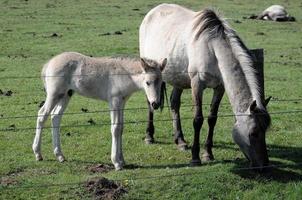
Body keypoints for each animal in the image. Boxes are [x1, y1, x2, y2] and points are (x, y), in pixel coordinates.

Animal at [31, 52, 166, 171]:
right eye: (147, 82)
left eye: (161, 83)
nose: (155, 104)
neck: (124, 73)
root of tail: (49, 63)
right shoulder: (114, 101)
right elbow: (115, 129)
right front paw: (116, 163)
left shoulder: (122, 102)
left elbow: (121, 128)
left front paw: (122, 160)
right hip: (54, 94)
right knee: (42, 115)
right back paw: (38, 153)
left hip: (66, 94)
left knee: (55, 116)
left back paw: (60, 155)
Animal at [141, 3, 272, 170]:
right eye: (254, 133)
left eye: (265, 131)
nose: (264, 166)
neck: (212, 48)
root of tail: (153, 11)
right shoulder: (197, 84)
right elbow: (198, 119)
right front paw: (195, 158)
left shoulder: (220, 87)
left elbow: (212, 118)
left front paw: (208, 153)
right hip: (150, 72)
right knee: (150, 103)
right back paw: (149, 136)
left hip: (178, 79)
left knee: (174, 103)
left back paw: (180, 140)